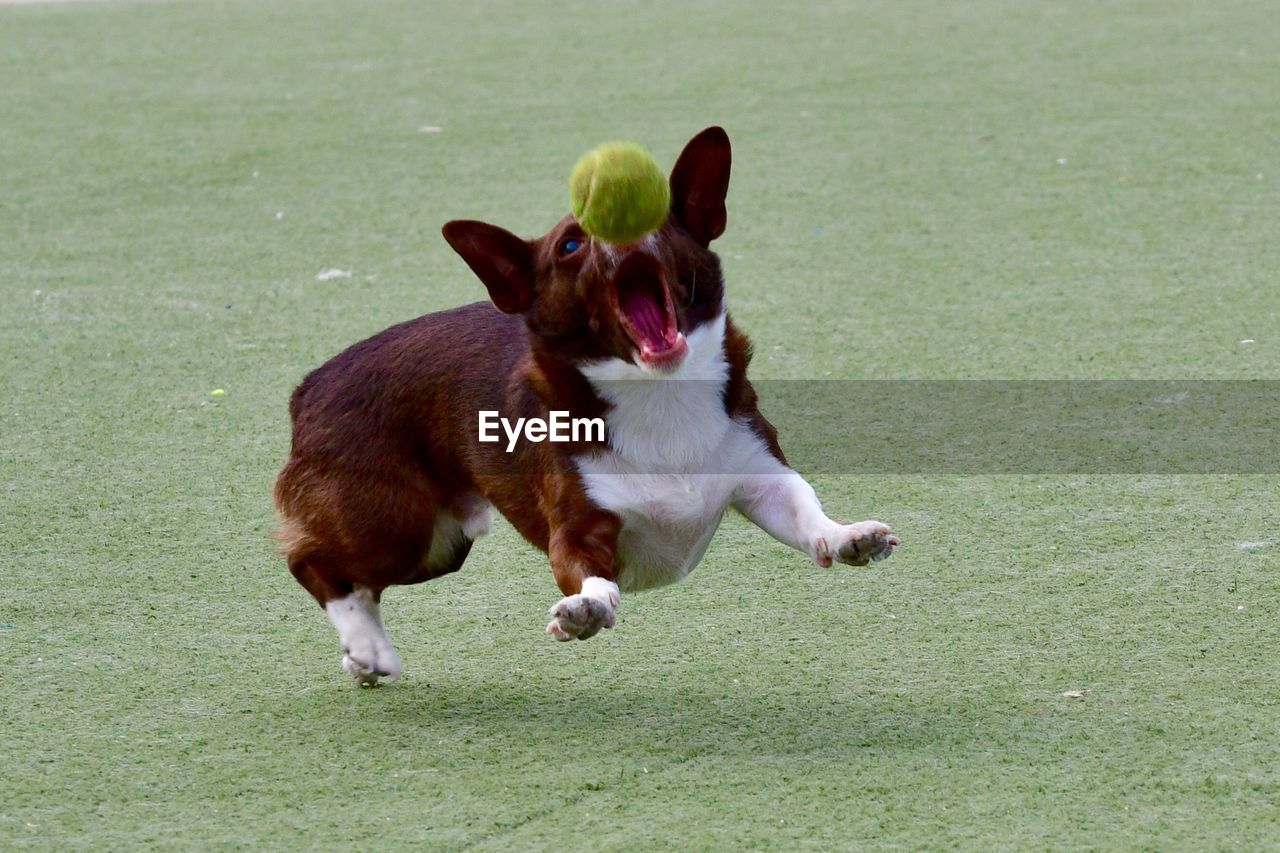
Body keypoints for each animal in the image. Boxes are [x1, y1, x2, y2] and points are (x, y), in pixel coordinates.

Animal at [277, 126, 901, 686]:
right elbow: (592, 580)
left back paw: (360, 658)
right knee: (315, 564)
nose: (617, 217)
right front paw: (586, 611)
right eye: (571, 246)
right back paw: (369, 648)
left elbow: (804, 508)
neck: (660, 394)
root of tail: (307, 388)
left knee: (357, 579)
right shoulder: (577, 532)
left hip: (439, 544)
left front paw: (848, 538)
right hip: (396, 523)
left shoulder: (760, 474)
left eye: (659, 216)